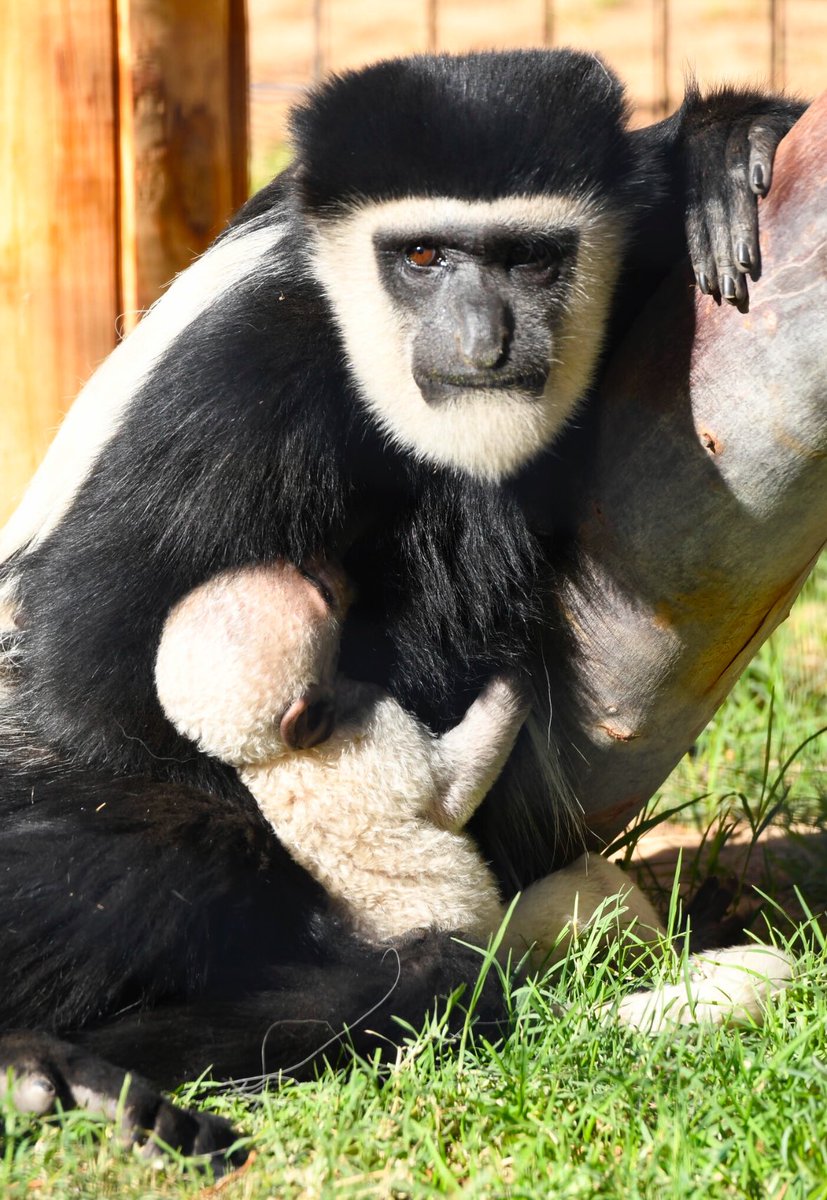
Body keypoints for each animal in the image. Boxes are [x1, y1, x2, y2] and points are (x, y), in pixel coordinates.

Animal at [0, 50, 805, 1151]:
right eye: (420, 256)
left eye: (528, 258)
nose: (481, 337)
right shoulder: (242, 373)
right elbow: (89, 659)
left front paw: (723, 155)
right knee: (153, 856)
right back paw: (66, 1069)